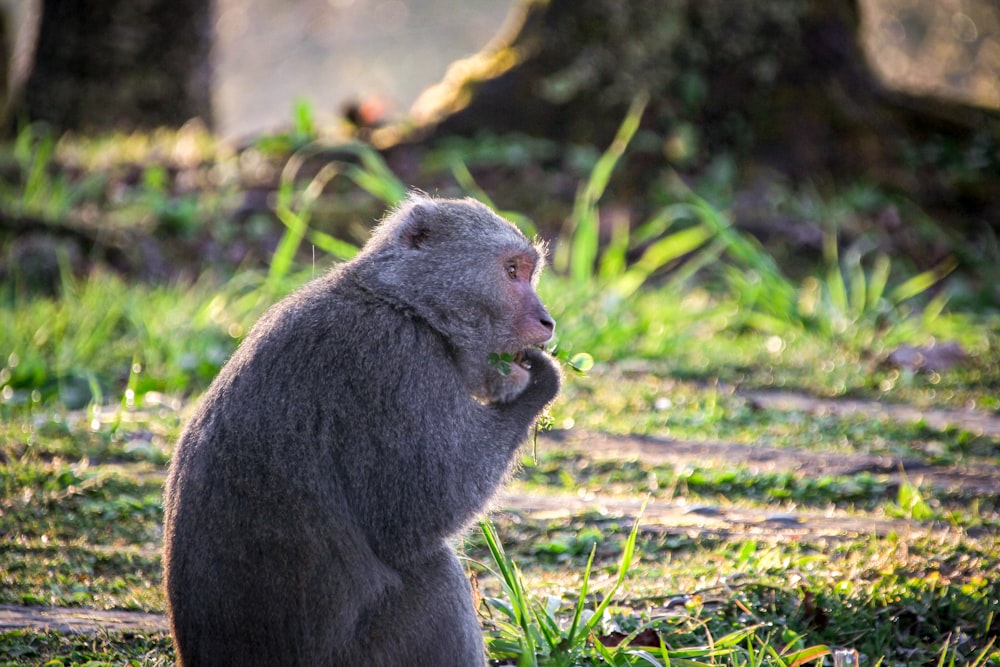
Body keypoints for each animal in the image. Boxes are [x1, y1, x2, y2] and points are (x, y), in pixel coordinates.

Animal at [164, 194, 564, 667]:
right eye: (511, 270)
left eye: (528, 270)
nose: (547, 320)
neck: (405, 305)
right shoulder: (394, 362)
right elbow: (419, 510)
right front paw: (541, 382)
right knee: (435, 573)